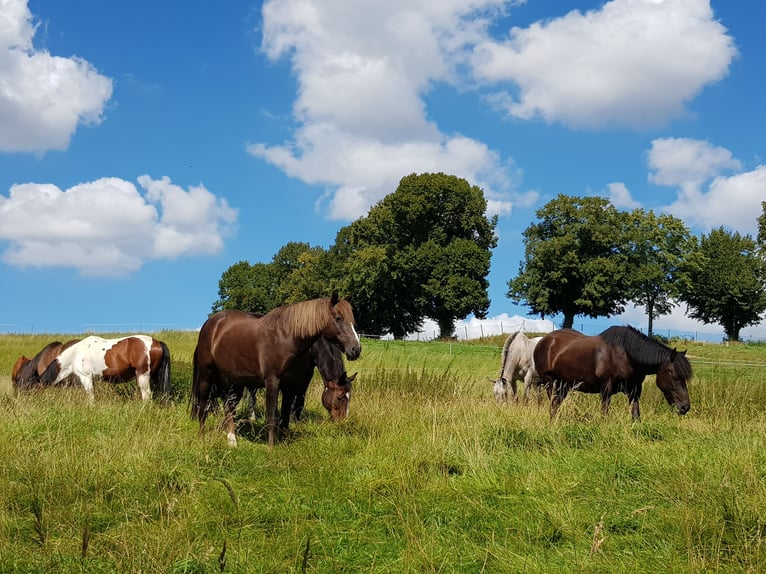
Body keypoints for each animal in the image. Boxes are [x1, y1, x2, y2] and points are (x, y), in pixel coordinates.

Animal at [38, 336, 172, 402]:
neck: (74, 354)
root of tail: (157, 343)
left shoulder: (86, 377)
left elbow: (90, 396)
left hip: (143, 375)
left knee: (147, 395)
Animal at [190, 292, 362, 450]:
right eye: (338, 318)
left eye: (353, 321)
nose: (356, 349)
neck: (287, 338)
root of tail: (212, 323)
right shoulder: (273, 381)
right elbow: (272, 416)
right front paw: (271, 448)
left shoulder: (291, 385)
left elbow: (285, 415)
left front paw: (284, 442)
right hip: (207, 374)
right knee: (204, 403)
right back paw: (202, 436)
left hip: (234, 380)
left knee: (229, 406)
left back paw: (232, 441)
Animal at [536, 328, 696, 424]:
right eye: (674, 375)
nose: (685, 407)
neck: (625, 355)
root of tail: (544, 340)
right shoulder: (606, 389)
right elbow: (605, 413)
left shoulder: (634, 391)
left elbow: (636, 414)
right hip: (550, 384)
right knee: (553, 405)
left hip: (563, 386)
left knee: (556, 406)